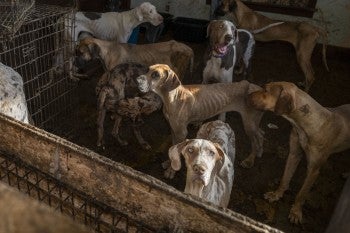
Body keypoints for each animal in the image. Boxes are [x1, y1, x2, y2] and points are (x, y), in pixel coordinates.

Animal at [137, 63, 266, 175]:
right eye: (148, 69)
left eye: (156, 75)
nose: (137, 80)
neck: (172, 97)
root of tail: (259, 90)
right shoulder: (173, 129)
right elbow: (172, 147)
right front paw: (169, 163)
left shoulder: (181, 132)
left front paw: (171, 171)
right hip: (253, 122)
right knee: (260, 133)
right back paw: (260, 151)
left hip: (249, 124)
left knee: (255, 139)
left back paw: (250, 160)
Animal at [247, 81, 350, 224]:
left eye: (266, 90)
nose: (247, 95)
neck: (306, 125)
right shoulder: (294, 154)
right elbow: (285, 179)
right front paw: (276, 194)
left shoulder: (313, 170)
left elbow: (302, 194)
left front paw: (296, 212)